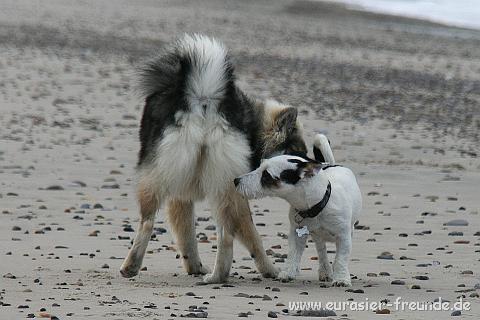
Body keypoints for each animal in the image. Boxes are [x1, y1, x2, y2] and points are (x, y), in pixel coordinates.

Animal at [121, 34, 308, 282]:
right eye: (298, 151)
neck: (253, 128)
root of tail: (204, 98)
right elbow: (190, 234)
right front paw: (195, 266)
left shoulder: (179, 195)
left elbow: (187, 234)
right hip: (224, 185)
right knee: (227, 232)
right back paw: (223, 274)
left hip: (160, 177)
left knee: (148, 221)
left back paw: (131, 266)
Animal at [234, 134, 362, 286]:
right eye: (259, 167)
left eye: (266, 175)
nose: (235, 181)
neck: (316, 206)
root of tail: (329, 164)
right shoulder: (296, 234)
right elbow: (293, 253)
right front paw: (288, 272)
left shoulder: (344, 237)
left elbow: (340, 258)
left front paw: (341, 278)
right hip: (317, 235)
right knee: (321, 250)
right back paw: (325, 271)